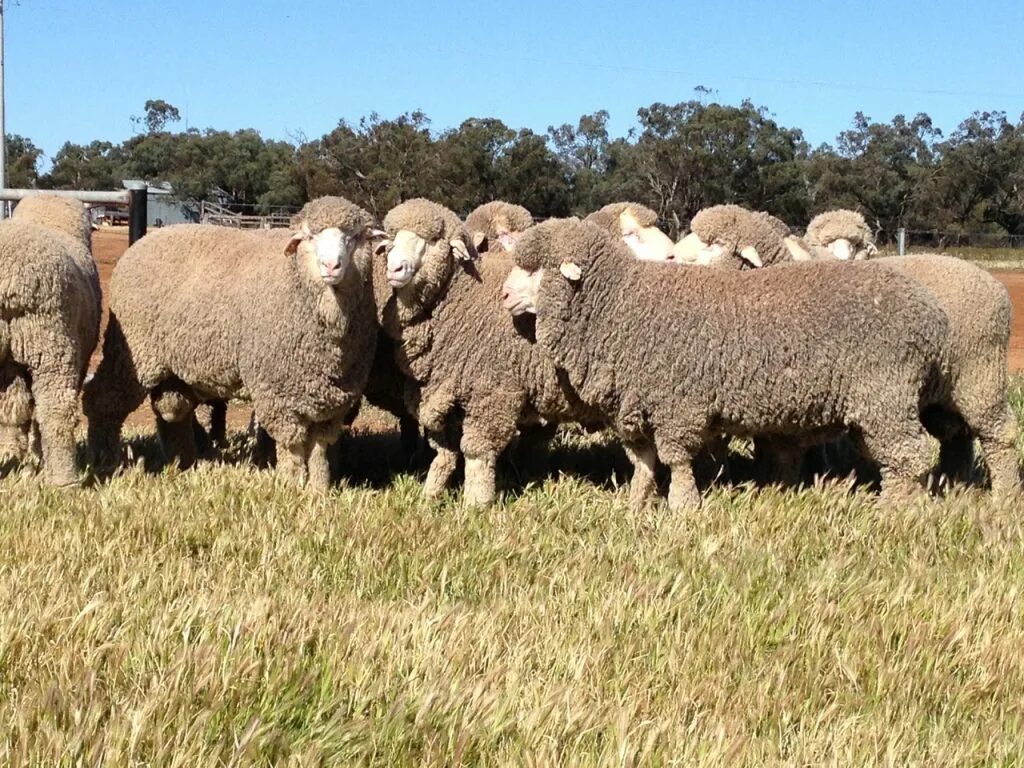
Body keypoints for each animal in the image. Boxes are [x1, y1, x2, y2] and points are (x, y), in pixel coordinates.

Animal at [83, 195, 385, 489]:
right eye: (310, 237)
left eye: (356, 237)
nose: (331, 266)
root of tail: (143, 241)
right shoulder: (278, 393)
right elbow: (292, 447)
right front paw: (292, 487)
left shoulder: (331, 401)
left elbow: (320, 450)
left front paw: (319, 491)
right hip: (133, 352)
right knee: (103, 399)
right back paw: (105, 461)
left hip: (172, 367)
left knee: (172, 412)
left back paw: (183, 464)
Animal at [499, 219, 946, 514]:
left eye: (534, 268)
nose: (503, 295)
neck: (621, 303)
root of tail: (932, 315)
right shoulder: (637, 400)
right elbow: (643, 461)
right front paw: (636, 504)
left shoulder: (677, 404)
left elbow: (676, 459)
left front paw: (683, 507)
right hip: (878, 402)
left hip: (886, 393)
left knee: (913, 453)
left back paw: (897, 511)